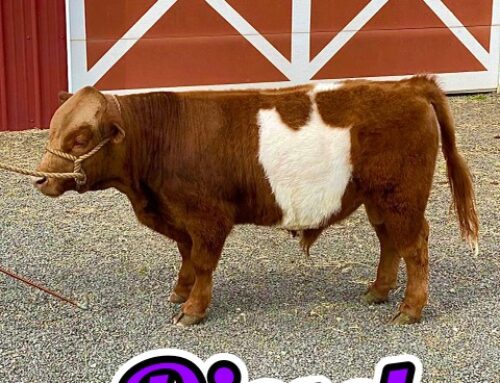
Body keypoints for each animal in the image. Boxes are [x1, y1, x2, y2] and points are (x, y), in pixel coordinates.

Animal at [33, 76, 478, 328]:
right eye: (53, 126)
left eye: (81, 138)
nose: (41, 177)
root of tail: (406, 85)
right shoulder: (180, 217)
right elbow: (186, 256)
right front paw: (180, 291)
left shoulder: (207, 216)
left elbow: (203, 261)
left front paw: (193, 310)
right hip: (379, 200)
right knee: (390, 242)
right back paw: (377, 291)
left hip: (401, 196)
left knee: (414, 246)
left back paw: (410, 309)